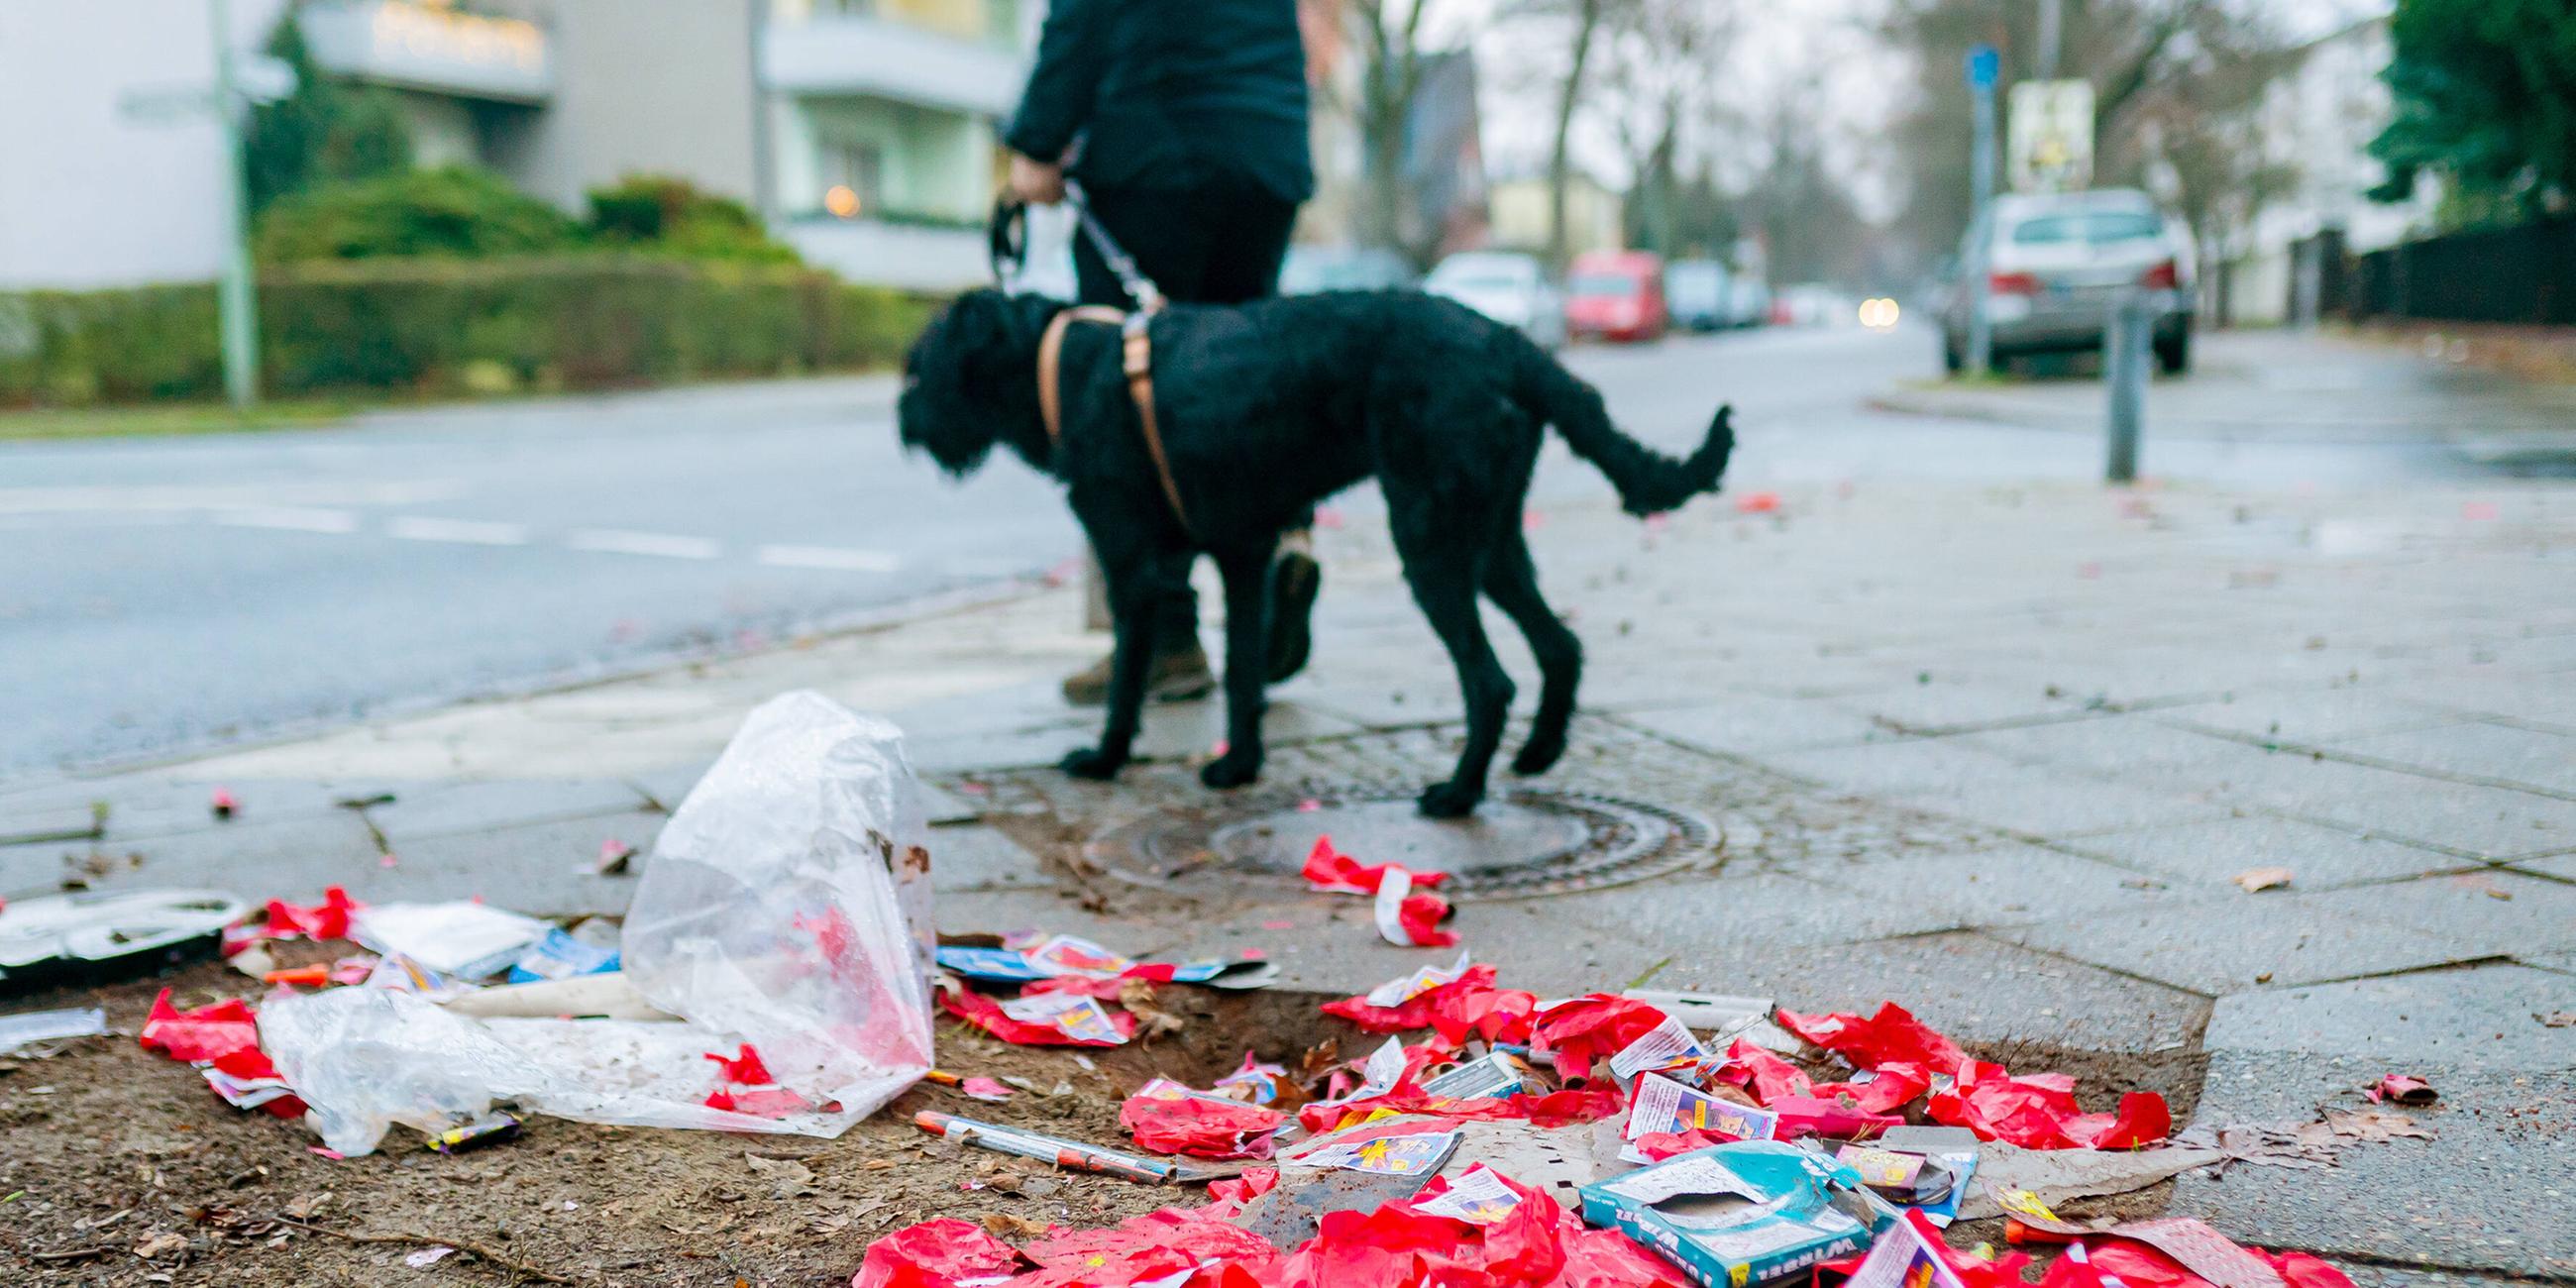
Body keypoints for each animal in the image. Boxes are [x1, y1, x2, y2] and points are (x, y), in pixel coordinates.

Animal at [901, 290, 1731, 813]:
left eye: (921, 365)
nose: (904, 418)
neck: (1064, 367)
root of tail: (1514, 345)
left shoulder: (1133, 565)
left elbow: (1128, 684)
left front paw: (1104, 760)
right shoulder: (1242, 552)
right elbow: (1241, 670)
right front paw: (1238, 766)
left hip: (1430, 541)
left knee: (1490, 681)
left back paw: (1459, 794)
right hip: (1490, 539)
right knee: (1560, 645)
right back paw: (1537, 753)